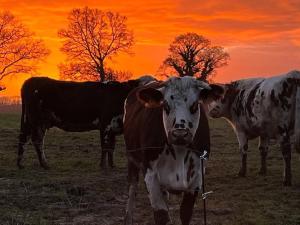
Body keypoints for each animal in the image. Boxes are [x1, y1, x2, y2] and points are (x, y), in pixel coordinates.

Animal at [17, 75, 155, 169]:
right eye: (141, 87)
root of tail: (30, 81)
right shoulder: (105, 125)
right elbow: (105, 146)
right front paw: (103, 166)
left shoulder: (113, 127)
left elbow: (111, 147)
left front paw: (112, 165)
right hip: (36, 120)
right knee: (37, 140)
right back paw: (44, 164)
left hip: (32, 121)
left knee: (24, 137)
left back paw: (20, 163)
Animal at [123, 76, 224, 224]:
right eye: (165, 105)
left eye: (195, 105)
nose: (180, 134)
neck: (179, 153)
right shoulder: (150, 176)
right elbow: (161, 215)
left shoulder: (196, 178)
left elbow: (185, 213)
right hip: (132, 160)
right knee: (131, 189)